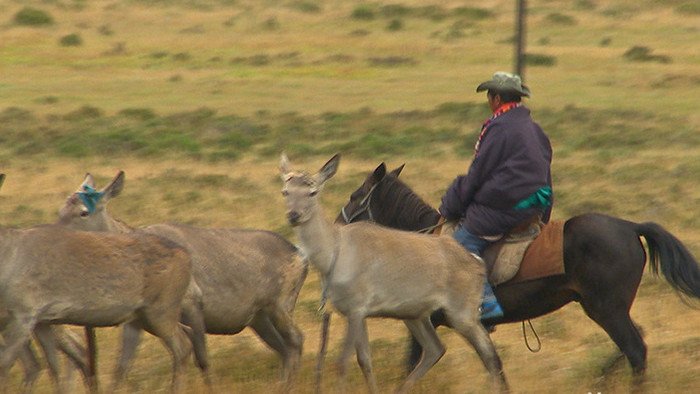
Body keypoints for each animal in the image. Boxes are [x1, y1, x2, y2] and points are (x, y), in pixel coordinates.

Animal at [278, 154, 508, 394]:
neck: (334, 255)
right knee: (436, 348)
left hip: (463, 313)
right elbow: (364, 361)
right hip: (414, 314)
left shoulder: (357, 307)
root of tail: (477, 263)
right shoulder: (355, 312)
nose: (294, 215)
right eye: (285, 191)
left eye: (312, 192)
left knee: (490, 357)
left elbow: (343, 363)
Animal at [334, 162, 700, 380]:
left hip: (606, 310)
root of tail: (630, 227)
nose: (337, 225)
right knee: (632, 346)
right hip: (610, 310)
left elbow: (413, 362)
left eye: (354, 195)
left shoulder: (426, 320)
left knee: (635, 351)